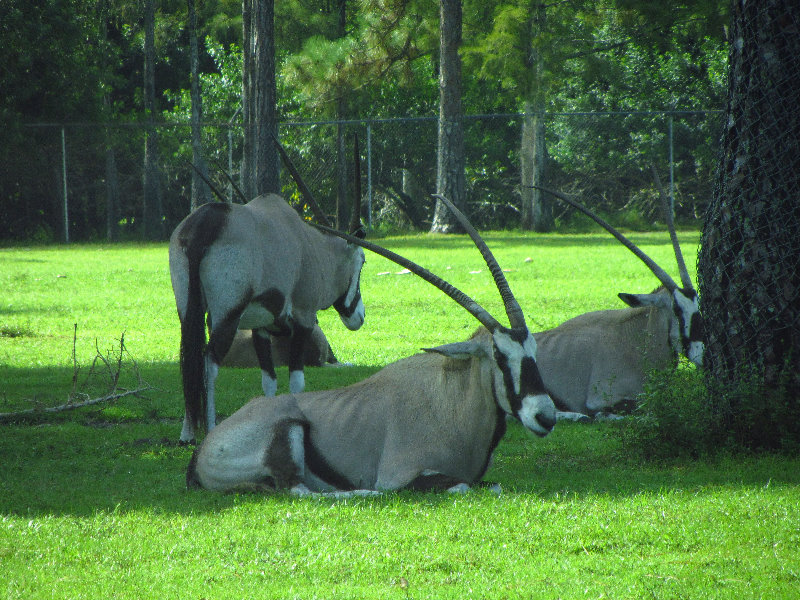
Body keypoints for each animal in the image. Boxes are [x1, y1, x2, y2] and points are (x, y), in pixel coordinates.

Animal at [172, 138, 368, 442]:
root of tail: (203, 226)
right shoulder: (303, 317)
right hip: (227, 315)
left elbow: (269, 382)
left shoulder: (262, 326)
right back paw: (211, 428)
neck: (309, 246)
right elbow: (297, 381)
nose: (359, 316)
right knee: (209, 363)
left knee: (189, 360)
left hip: (189, 312)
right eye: (363, 261)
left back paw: (187, 433)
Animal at [189, 195, 556, 494]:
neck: (450, 398)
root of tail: (202, 450)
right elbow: (461, 486)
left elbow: (491, 485)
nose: (546, 417)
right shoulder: (402, 475)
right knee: (301, 490)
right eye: (499, 355)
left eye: (535, 353)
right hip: (287, 432)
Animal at [536, 175, 704, 422]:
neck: (634, 340)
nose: (704, 353)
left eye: (697, 305)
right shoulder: (604, 400)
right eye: (676, 308)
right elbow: (639, 414)